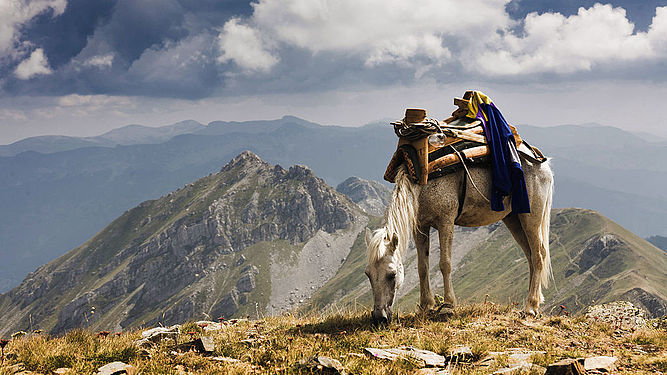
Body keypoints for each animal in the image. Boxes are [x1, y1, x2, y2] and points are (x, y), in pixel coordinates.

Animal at [366, 147, 552, 326]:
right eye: (368, 274)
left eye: (392, 274)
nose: (379, 317)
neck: (423, 184)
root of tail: (544, 167)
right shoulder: (420, 227)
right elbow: (422, 267)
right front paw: (425, 305)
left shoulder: (445, 222)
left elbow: (445, 263)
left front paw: (448, 305)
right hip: (514, 219)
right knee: (530, 256)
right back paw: (534, 301)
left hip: (531, 218)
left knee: (538, 255)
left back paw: (530, 306)